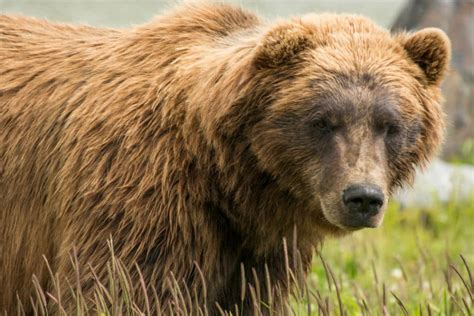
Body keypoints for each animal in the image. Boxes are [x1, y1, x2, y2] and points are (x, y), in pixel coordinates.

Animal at [0, 1, 450, 314]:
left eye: (390, 124)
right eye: (323, 121)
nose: (362, 198)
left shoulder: (258, 251)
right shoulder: (139, 197)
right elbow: (123, 291)